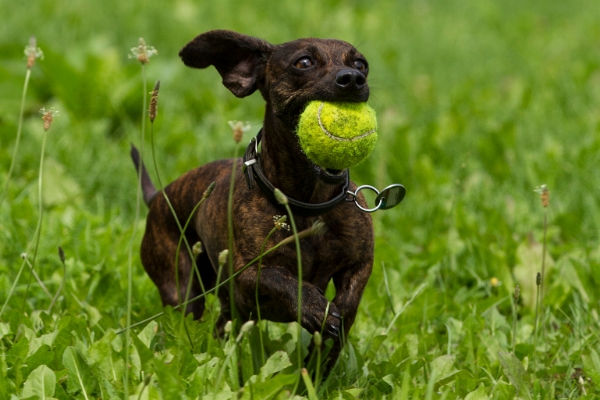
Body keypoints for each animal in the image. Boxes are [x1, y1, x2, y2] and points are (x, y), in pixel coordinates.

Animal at [132, 29, 372, 364]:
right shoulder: (247, 272)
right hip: (182, 289)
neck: (310, 202)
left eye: (361, 64)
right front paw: (314, 306)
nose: (352, 79)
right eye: (304, 62)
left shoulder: (360, 263)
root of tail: (157, 198)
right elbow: (283, 280)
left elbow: (349, 301)